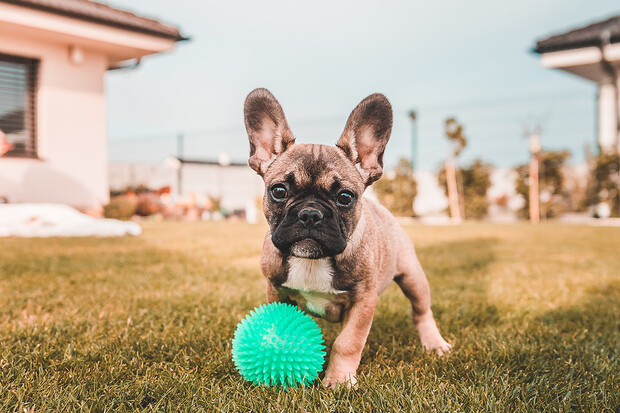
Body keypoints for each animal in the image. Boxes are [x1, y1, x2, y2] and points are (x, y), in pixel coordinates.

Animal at [243, 88, 450, 388]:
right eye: (279, 191)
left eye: (345, 197)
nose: (310, 214)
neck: (313, 261)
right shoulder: (276, 291)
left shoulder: (364, 301)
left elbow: (348, 342)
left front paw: (339, 381)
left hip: (413, 277)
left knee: (421, 310)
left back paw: (434, 343)